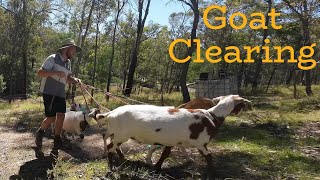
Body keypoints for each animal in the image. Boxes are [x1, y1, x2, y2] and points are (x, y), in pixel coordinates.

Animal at [92, 94, 252, 179]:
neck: (211, 116)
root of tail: (111, 113)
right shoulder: (201, 143)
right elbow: (209, 157)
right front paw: (212, 173)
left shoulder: (173, 141)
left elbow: (166, 153)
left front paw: (156, 167)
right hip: (121, 134)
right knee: (110, 146)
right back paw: (111, 168)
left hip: (119, 134)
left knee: (113, 145)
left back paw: (122, 159)